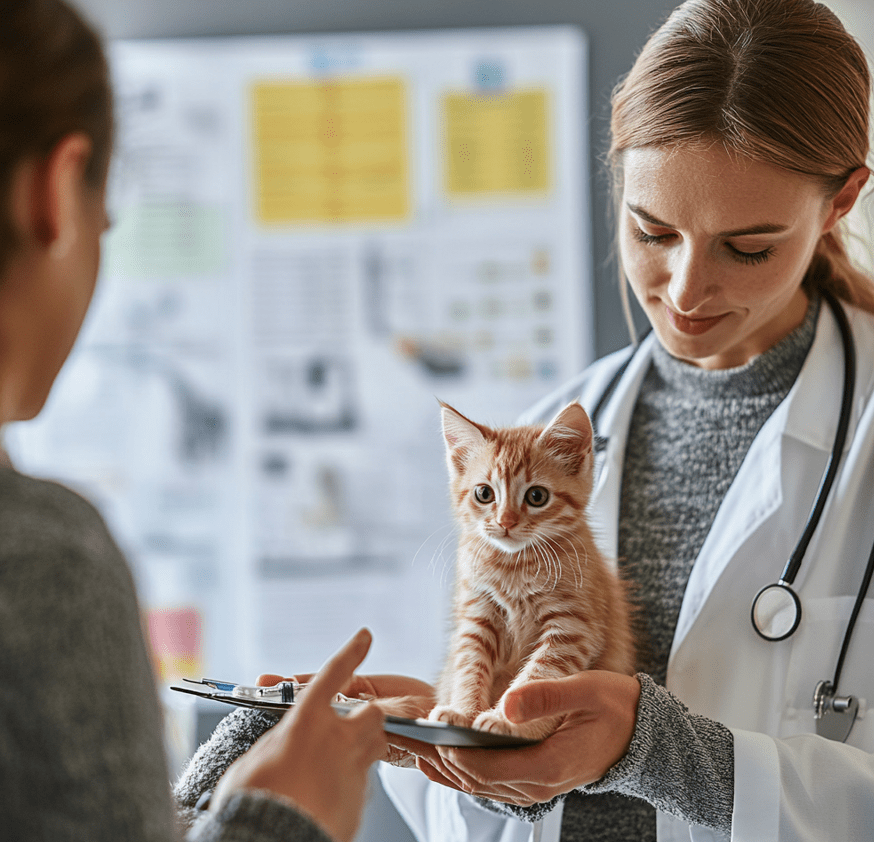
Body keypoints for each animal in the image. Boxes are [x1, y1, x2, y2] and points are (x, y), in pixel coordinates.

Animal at [430, 400, 632, 736]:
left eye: (537, 496)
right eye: (484, 493)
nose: (506, 521)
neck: (515, 564)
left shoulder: (573, 626)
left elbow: (539, 674)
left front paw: (506, 719)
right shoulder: (477, 615)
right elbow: (470, 664)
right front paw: (463, 710)